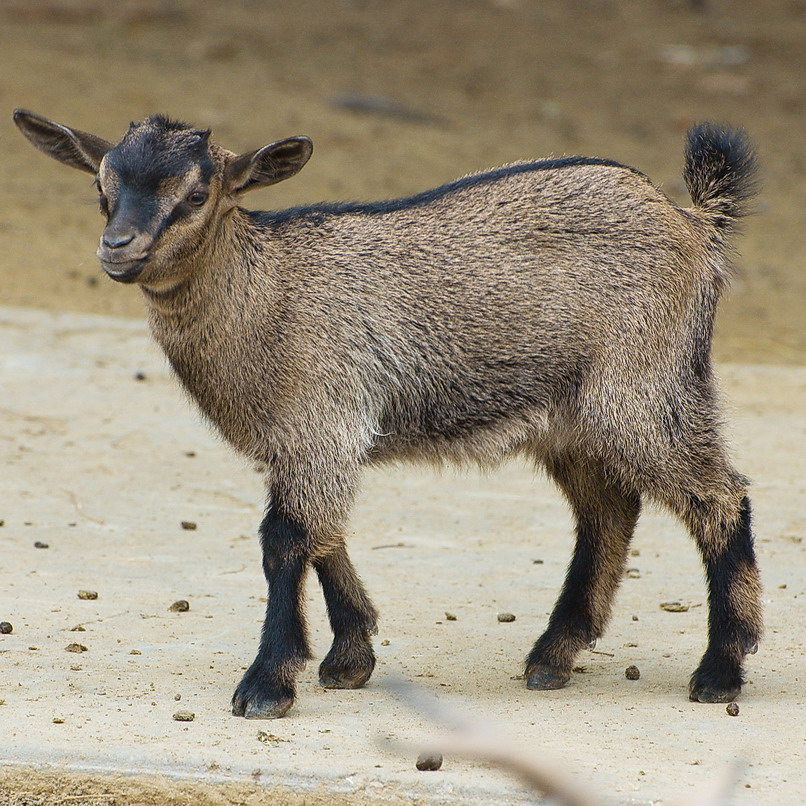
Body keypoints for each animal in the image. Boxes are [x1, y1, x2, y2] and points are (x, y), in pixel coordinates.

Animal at [15, 107, 768, 720]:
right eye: (102, 190)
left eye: (198, 194)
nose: (118, 247)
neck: (265, 293)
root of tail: (695, 223)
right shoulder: (307, 438)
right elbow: (323, 534)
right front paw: (349, 658)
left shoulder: (321, 419)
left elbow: (285, 540)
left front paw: (266, 685)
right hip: (571, 417)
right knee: (609, 509)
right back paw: (553, 655)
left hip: (644, 385)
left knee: (719, 497)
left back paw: (720, 669)